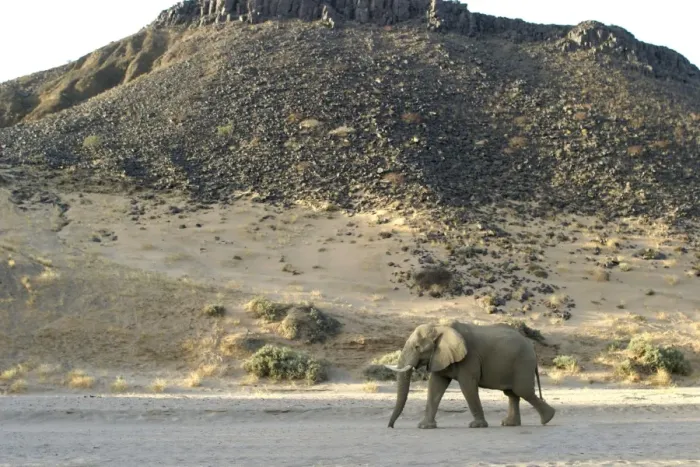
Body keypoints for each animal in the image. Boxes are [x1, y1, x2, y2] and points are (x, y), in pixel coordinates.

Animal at [384, 320, 556, 429]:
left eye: (417, 347)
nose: (390, 426)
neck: (440, 327)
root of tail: (531, 345)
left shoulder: (469, 358)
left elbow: (467, 386)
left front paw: (477, 426)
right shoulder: (440, 356)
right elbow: (436, 386)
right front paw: (424, 427)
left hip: (522, 362)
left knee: (522, 391)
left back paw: (548, 418)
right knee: (512, 393)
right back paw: (510, 424)